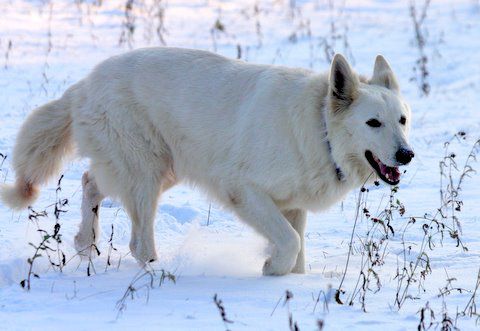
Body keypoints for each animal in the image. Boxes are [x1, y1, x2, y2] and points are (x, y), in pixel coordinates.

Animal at [0, 46, 412, 274]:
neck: (320, 130)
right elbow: (290, 243)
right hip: (147, 175)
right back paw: (158, 274)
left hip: (160, 170)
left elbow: (297, 251)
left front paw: (286, 279)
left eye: (402, 120)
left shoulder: (292, 206)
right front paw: (270, 270)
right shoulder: (244, 190)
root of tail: (85, 83)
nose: (406, 155)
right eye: (373, 123)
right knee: (138, 241)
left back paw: (86, 242)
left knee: (90, 182)